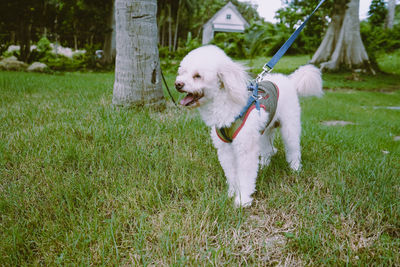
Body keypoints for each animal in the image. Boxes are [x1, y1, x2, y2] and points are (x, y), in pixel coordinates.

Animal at [174, 45, 322, 207]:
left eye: (197, 76)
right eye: (182, 72)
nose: (178, 84)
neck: (226, 105)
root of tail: (289, 80)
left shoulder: (245, 148)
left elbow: (245, 176)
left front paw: (242, 199)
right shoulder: (225, 149)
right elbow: (231, 173)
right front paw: (231, 193)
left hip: (290, 127)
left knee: (293, 149)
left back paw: (295, 169)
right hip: (263, 131)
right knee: (268, 150)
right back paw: (264, 166)